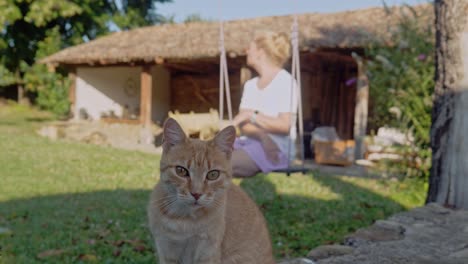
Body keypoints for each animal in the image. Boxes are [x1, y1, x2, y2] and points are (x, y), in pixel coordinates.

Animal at [147, 118, 274, 262]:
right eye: (181, 171)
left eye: (213, 174)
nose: (196, 194)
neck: (184, 220)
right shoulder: (166, 250)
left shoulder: (208, 252)